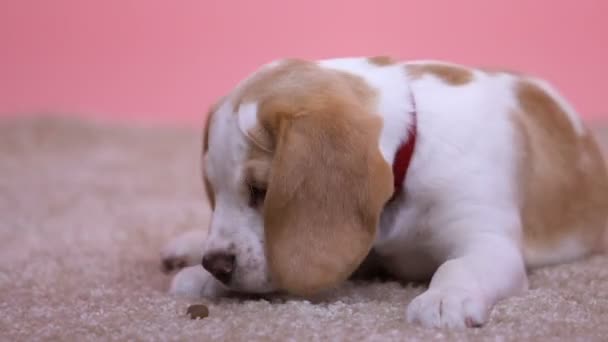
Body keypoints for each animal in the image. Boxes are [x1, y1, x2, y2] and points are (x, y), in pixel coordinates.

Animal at [158, 56, 608, 328]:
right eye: (215, 191)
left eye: (260, 190)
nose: (215, 265)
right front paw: (201, 272)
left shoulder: (487, 241)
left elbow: (458, 266)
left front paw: (445, 298)